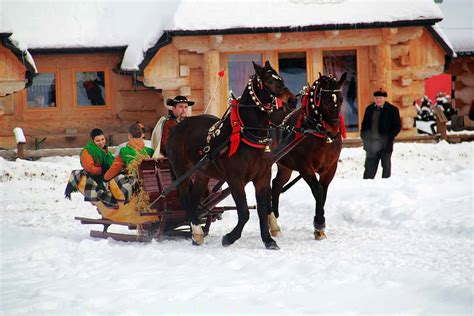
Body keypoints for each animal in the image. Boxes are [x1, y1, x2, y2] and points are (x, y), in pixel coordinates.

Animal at [165, 61, 294, 249]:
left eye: (281, 78)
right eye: (269, 81)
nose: (292, 100)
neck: (247, 134)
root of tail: (176, 128)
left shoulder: (262, 177)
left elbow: (262, 210)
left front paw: (268, 240)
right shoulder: (235, 180)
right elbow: (244, 212)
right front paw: (230, 237)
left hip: (202, 174)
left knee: (195, 200)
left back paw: (196, 232)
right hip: (181, 171)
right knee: (184, 198)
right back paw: (197, 232)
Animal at [268, 72, 346, 239]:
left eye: (341, 99)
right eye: (325, 100)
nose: (333, 131)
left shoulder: (330, 168)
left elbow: (323, 192)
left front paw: (319, 226)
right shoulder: (305, 167)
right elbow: (318, 191)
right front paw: (319, 223)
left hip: (285, 166)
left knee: (276, 184)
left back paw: (275, 218)